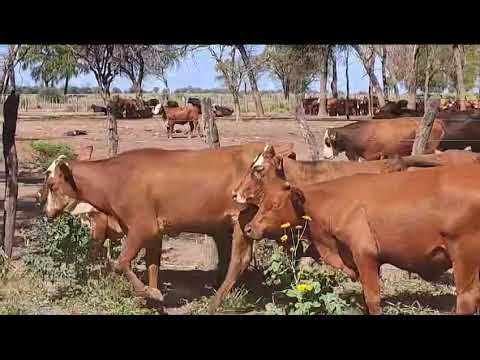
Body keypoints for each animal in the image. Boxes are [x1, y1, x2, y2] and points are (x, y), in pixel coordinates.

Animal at [244, 166, 480, 316]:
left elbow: (372, 297)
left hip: (465, 257)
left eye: (275, 205)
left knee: (467, 298)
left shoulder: (365, 254)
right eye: (262, 202)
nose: (248, 228)